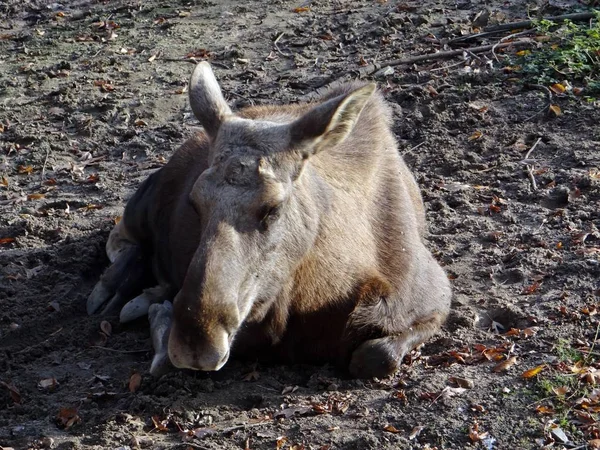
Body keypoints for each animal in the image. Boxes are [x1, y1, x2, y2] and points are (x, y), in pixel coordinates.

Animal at [85, 62, 450, 380]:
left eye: (272, 207)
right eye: (195, 202)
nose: (196, 342)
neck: (317, 295)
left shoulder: (435, 297)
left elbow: (374, 355)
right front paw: (159, 311)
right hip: (142, 203)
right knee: (120, 238)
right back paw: (114, 291)